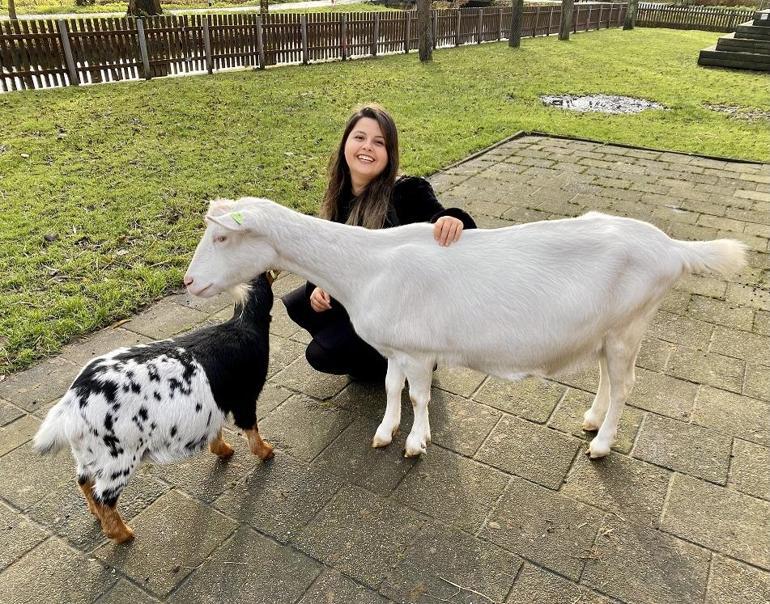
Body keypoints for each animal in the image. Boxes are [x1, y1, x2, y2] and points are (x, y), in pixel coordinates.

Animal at [36, 272, 278, 544]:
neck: (243, 321)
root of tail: (73, 402)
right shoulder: (245, 399)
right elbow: (252, 429)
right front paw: (266, 452)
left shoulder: (215, 405)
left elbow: (215, 430)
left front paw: (224, 450)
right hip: (118, 459)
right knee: (104, 497)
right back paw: (123, 534)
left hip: (88, 454)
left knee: (84, 483)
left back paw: (97, 515)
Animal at [182, 198, 744, 458]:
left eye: (222, 237)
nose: (188, 281)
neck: (367, 265)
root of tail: (672, 248)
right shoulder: (396, 347)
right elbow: (392, 387)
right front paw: (385, 432)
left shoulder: (420, 348)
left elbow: (420, 395)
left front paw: (416, 443)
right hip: (609, 331)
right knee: (609, 376)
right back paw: (590, 419)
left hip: (630, 325)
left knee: (626, 385)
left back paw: (602, 444)